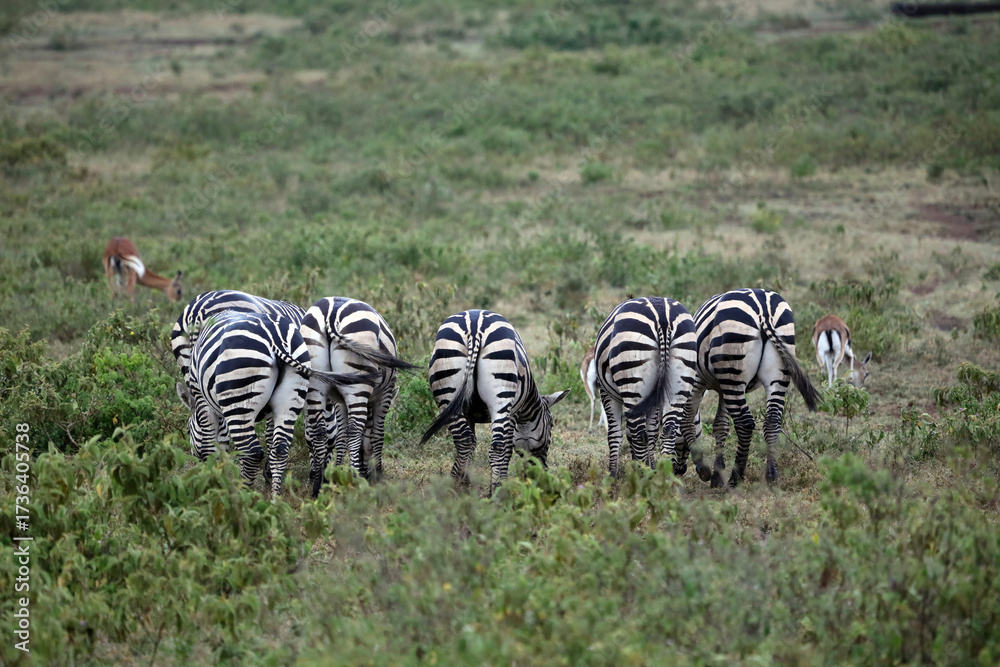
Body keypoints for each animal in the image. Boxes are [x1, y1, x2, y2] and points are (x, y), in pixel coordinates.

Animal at [174, 310, 369, 496]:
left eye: (187, 431)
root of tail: (277, 339)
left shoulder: (201, 398)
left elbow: (210, 445)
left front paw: (211, 482)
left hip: (240, 393)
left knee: (251, 452)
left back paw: (243, 496)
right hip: (291, 396)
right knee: (281, 449)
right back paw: (275, 498)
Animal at [299, 296, 419, 496]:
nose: (367, 472)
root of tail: (332, 314)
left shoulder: (339, 400)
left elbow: (341, 436)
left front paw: (337, 475)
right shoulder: (385, 394)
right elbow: (377, 434)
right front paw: (377, 474)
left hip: (315, 381)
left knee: (319, 430)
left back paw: (317, 487)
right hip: (357, 382)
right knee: (355, 428)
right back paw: (358, 482)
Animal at [420, 310, 570, 495]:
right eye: (551, 426)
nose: (542, 472)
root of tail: (474, 328)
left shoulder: (468, 413)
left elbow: (473, 443)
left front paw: (466, 481)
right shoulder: (513, 413)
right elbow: (506, 449)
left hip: (447, 390)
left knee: (464, 440)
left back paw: (454, 486)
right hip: (501, 397)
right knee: (497, 447)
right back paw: (498, 492)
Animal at [593, 297, 700, 478]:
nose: (680, 471)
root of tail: (662, 318)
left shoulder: (607, 393)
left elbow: (616, 434)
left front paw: (613, 474)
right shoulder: (654, 400)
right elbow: (652, 433)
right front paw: (653, 468)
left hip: (633, 380)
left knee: (639, 435)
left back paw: (641, 477)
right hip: (680, 381)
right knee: (668, 431)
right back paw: (664, 478)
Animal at [684, 288, 821, 488]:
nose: (677, 471)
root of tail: (763, 309)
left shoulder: (696, 382)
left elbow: (689, 418)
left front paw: (704, 470)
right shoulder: (722, 389)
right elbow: (720, 425)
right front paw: (717, 475)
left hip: (733, 368)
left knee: (745, 423)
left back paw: (736, 477)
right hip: (776, 371)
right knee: (772, 420)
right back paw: (771, 476)